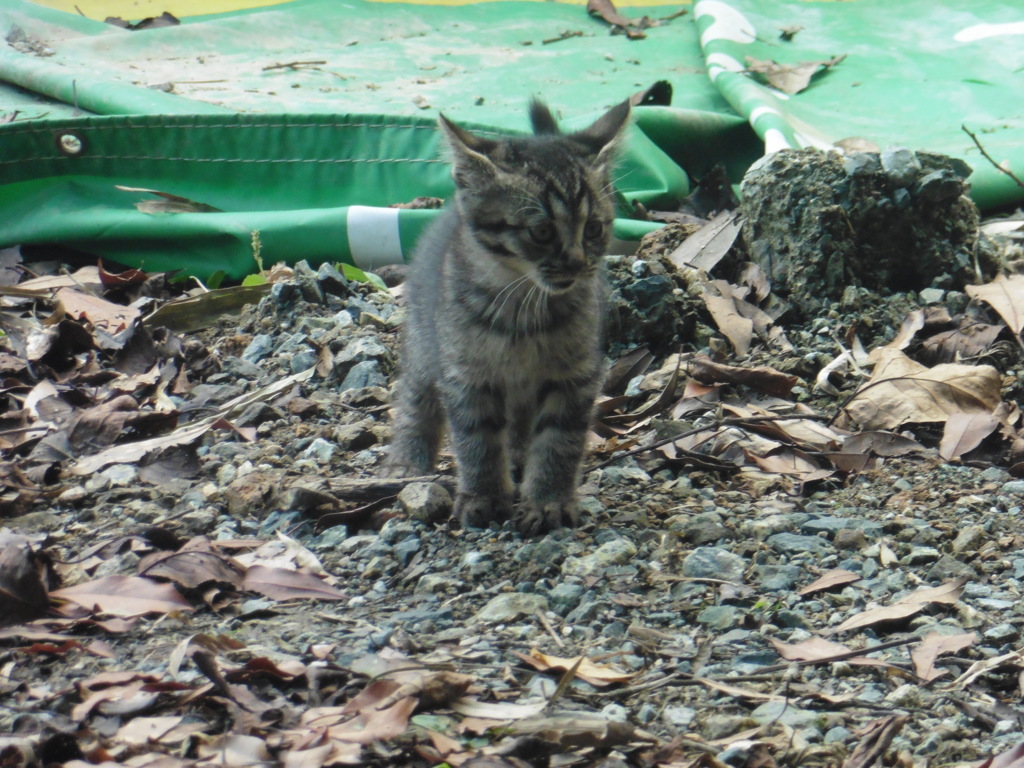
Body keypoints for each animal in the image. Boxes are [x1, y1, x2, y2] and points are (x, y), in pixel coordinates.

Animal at [385, 100, 626, 536]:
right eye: (542, 231)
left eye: (594, 229)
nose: (578, 263)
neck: (524, 305)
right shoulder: (466, 376)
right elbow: (477, 440)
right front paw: (483, 497)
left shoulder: (574, 375)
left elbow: (559, 441)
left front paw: (547, 501)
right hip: (425, 343)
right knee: (416, 397)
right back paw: (408, 460)